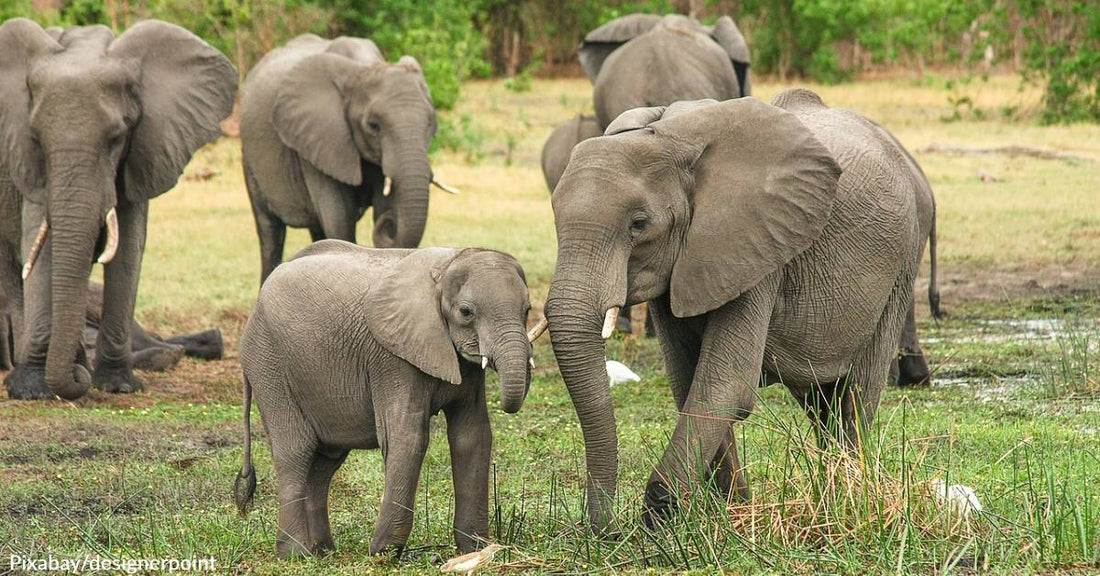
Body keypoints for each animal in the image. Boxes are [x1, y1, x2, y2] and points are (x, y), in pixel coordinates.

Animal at [0, 19, 237, 400]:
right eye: (36, 138)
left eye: (116, 138)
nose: (77, 379)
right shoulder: (27, 164)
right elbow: (41, 246)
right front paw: (32, 390)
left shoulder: (143, 149)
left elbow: (128, 250)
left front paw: (117, 385)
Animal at [234, 240, 541, 558]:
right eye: (466, 312)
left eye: (527, 309)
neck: (446, 267)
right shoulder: (392, 358)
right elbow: (407, 436)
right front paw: (383, 553)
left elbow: (472, 436)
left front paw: (475, 550)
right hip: (268, 363)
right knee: (296, 450)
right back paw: (296, 554)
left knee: (324, 461)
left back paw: (323, 551)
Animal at [241, 34, 458, 285]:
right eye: (373, 125)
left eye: (431, 123)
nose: (389, 224)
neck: (364, 66)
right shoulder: (319, 139)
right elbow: (338, 218)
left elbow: (381, 205)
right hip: (250, 157)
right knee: (270, 232)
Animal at [543, 90, 927, 530]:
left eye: (638, 224)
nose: (605, 531)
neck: (669, 139)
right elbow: (689, 381)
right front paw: (731, 513)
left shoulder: (758, 245)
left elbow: (725, 383)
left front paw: (660, 519)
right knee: (820, 401)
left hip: (902, 263)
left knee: (855, 394)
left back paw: (847, 497)